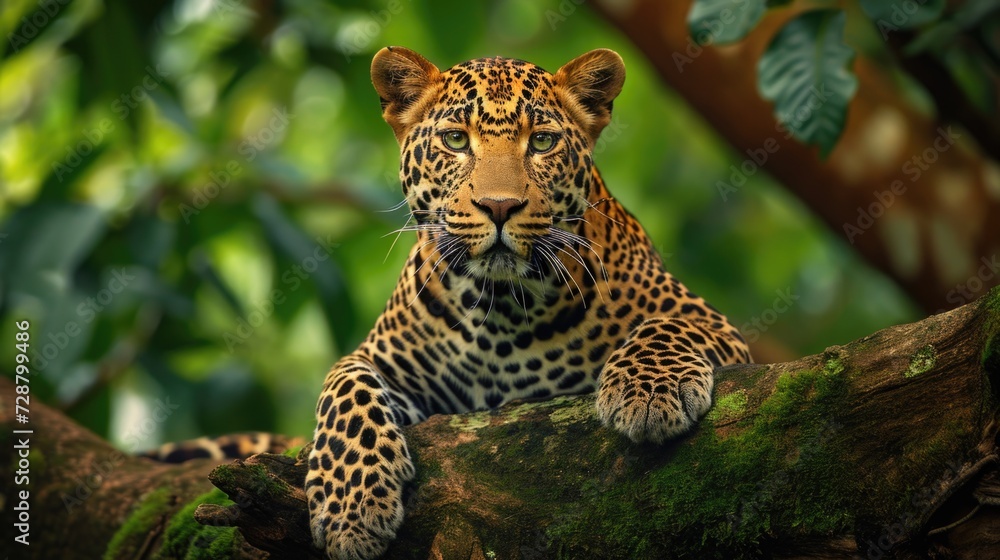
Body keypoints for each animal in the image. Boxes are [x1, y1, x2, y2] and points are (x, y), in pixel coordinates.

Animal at [306, 46, 752, 559]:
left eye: (541, 142)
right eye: (456, 140)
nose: (499, 207)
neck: (500, 305)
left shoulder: (716, 325)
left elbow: (666, 325)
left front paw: (649, 392)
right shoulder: (383, 360)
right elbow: (345, 386)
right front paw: (351, 509)